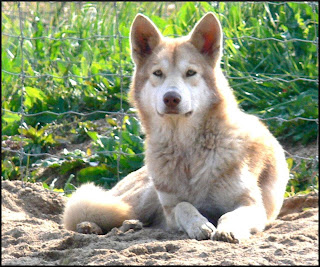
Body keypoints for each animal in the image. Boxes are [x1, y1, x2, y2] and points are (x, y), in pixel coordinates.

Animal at [63, 12, 290, 243]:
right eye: (157, 73)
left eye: (190, 72)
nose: (171, 98)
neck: (186, 149)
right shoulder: (170, 209)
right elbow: (184, 206)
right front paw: (199, 225)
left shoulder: (253, 206)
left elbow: (228, 215)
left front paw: (227, 230)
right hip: (141, 198)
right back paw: (96, 226)